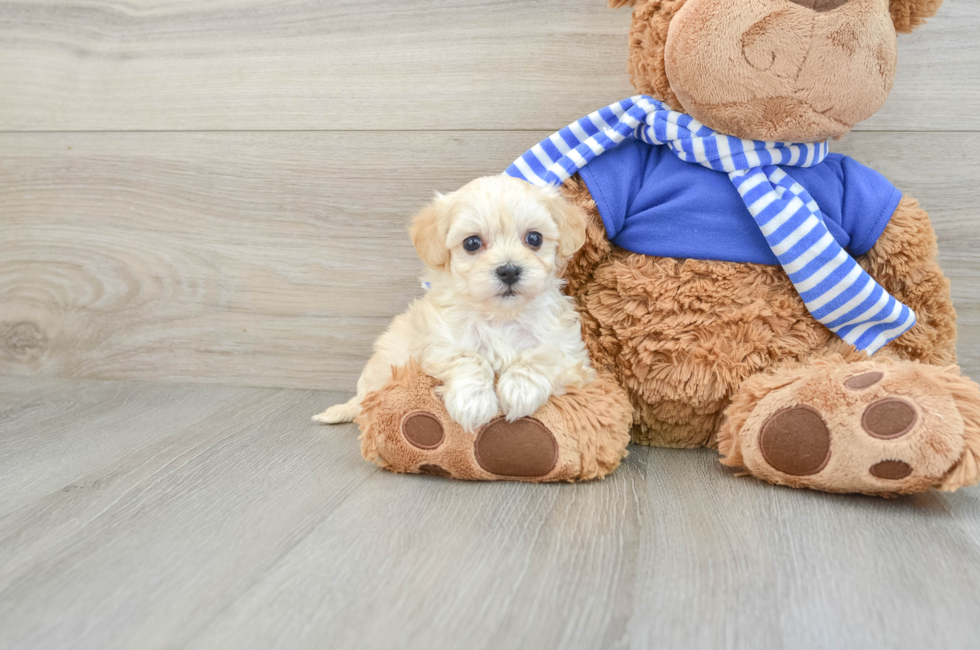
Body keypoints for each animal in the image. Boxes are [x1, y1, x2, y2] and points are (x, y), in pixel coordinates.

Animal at [314, 175, 592, 432]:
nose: (509, 270)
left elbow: (543, 354)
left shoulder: (571, 354)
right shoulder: (440, 344)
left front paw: (520, 389)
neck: (501, 316)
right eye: (472, 242)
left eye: (534, 238)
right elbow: (469, 358)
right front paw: (473, 403)